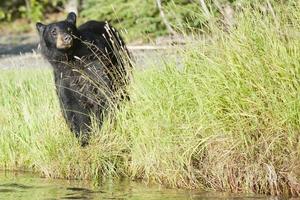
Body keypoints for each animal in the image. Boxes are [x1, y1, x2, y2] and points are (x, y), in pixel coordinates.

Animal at [36, 12, 130, 145]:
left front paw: (102, 128)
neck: (71, 59)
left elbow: (102, 94)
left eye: (69, 29)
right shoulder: (64, 78)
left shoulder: (94, 67)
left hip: (118, 60)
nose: (67, 38)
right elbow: (72, 106)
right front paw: (84, 138)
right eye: (53, 32)